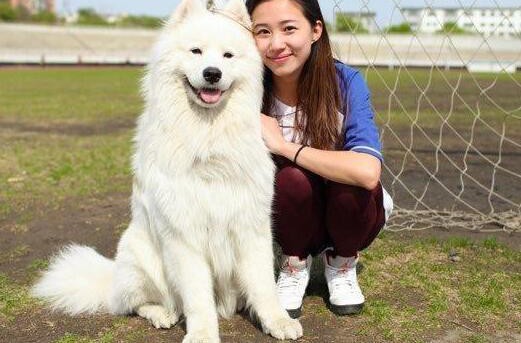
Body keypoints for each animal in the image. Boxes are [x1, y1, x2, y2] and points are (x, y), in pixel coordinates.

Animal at [31, 0, 300, 342]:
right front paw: (202, 335)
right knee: (133, 304)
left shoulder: (250, 225)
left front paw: (277, 321)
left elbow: (264, 285)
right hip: (141, 259)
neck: (207, 138)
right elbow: (197, 297)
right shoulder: (183, 234)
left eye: (228, 56)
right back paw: (162, 314)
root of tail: (112, 279)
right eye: (196, 51)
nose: (212, 73)